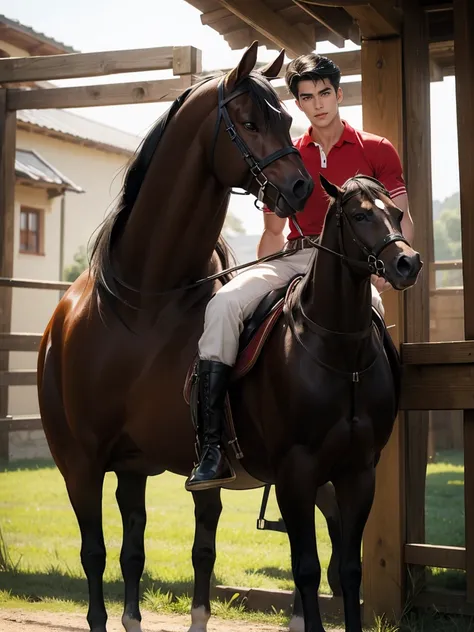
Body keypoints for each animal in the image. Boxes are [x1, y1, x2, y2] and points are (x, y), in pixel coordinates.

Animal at [38, 39, 422, 632]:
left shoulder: (348, 470)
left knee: (139, 549)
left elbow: (334, 565)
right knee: (100, 554)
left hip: (136, 466)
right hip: (83, 463)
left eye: (288, 118)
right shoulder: (85, 459)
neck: (141, 302)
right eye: (248, 121)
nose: (299, 187)